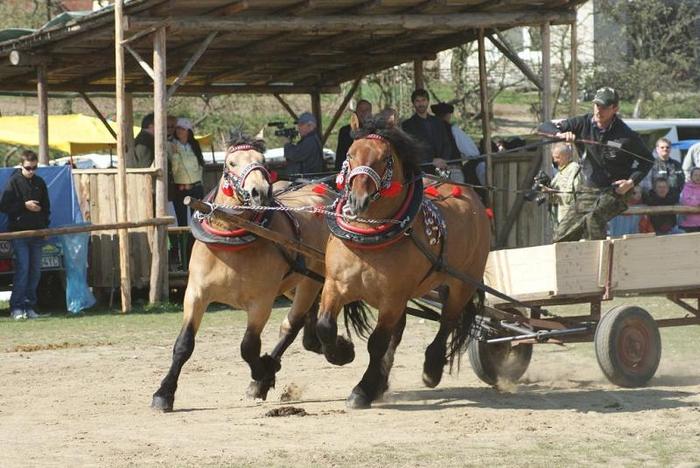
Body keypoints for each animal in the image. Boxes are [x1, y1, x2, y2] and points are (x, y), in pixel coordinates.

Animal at [153, 136, 334, 410]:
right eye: (231, 163)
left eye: (263, 162)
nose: (260, 192)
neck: (231, 237)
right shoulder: (196, 294)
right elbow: (184, 344)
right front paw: (164, 393)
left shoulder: (261, 302)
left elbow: (248, 347)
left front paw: (263, 372)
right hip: (295, 283)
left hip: (310, 280)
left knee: (291, 325)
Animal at [318, 115, 492, 408]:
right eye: (350, 154)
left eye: (385, 158)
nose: (358, 200)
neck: (370, 235)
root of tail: (474, 198)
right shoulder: (335, 285)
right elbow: (324, 326)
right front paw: (342, 352)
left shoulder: (392, 298)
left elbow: (377, 343)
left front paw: (362, 390)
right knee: (399, 333)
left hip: (462, 283)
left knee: (447, 322)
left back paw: (431, 368)